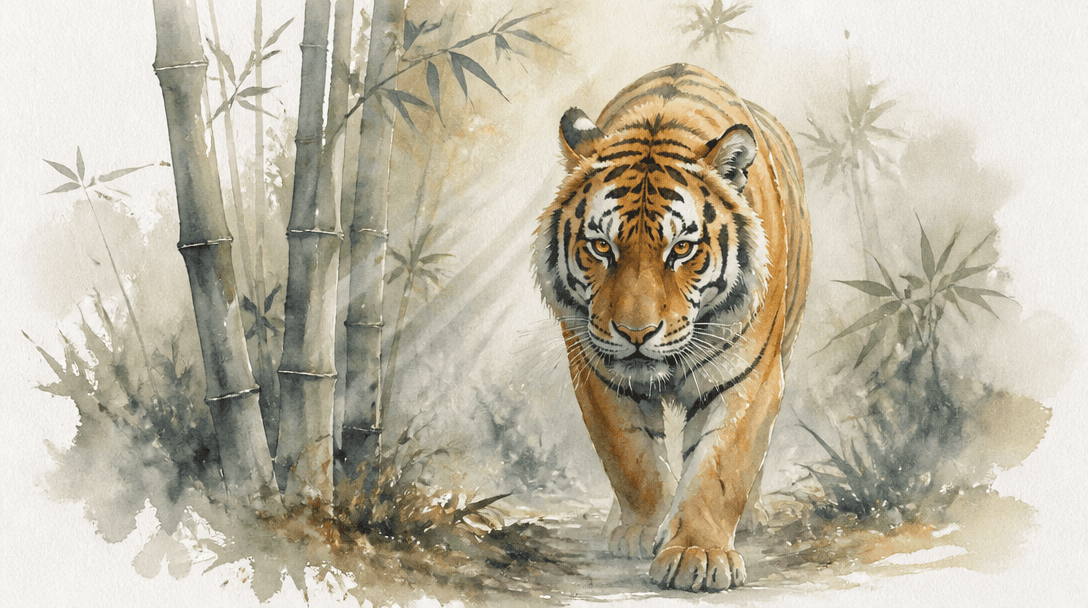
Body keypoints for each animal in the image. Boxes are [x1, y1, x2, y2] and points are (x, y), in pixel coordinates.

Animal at [532, 64, 811, 592]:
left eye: (681, 249)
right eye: (602, 247)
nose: (636, 333)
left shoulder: (750, 374)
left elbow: (720, 467)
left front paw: (696, 553)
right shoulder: (596, 372)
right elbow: (632, 459)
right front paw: (643, 532)